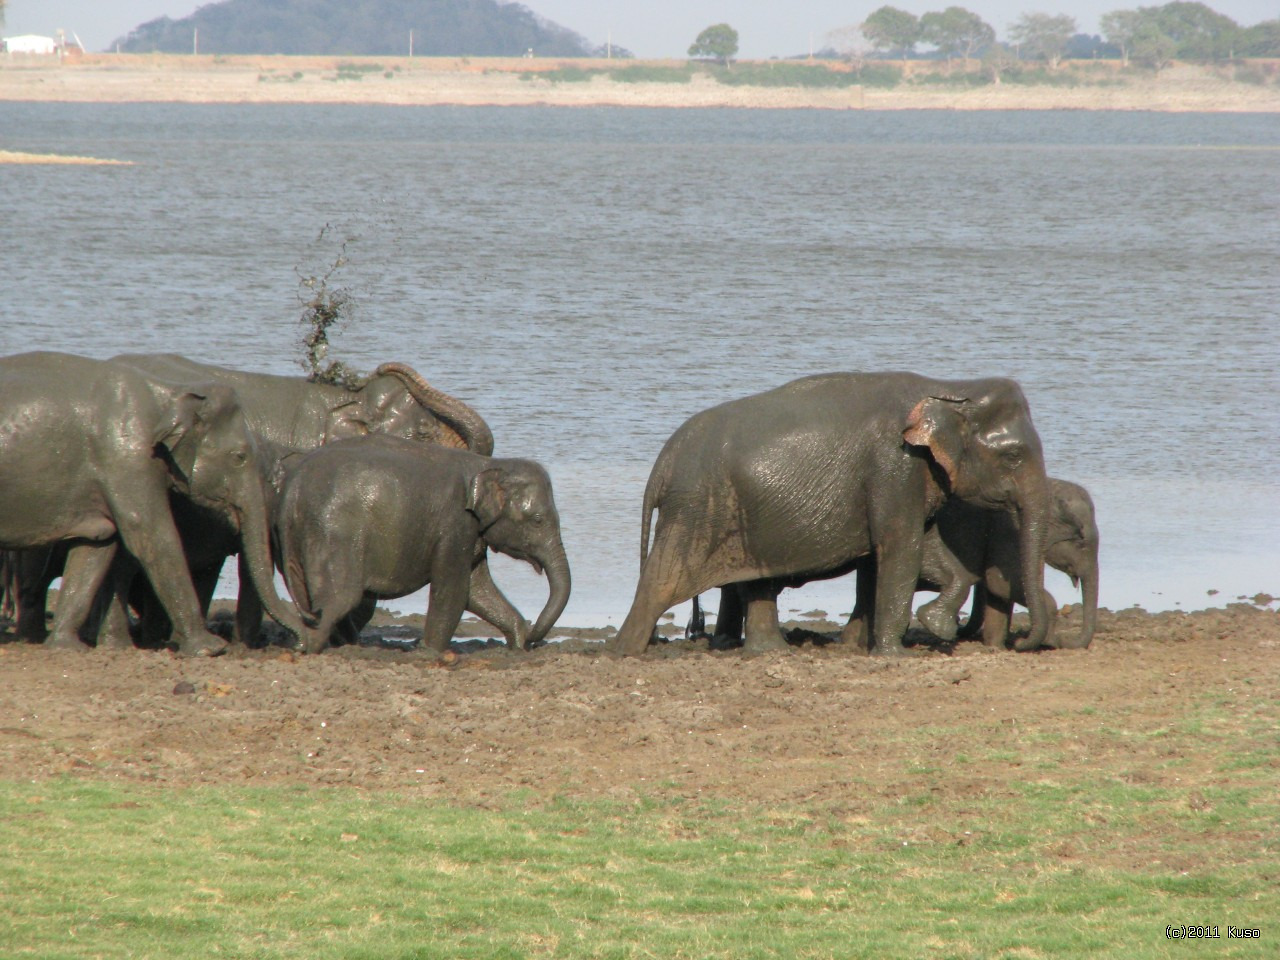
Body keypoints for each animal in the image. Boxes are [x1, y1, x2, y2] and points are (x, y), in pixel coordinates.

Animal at [0, 350, 308, 660]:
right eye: (239, 457)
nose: (302, 641)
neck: (170, 393)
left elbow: (98, 544)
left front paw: (67, 647)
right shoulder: (128, 458)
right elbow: (155, 537)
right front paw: (209, 648)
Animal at [272, 437, 568, 660]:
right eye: (538, 521)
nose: (533, 637)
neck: (487, 465)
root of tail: (292, 490)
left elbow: (478, 591)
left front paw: (517, 643)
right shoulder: (455, 523)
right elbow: (453, 589)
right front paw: (430, 652)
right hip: (333, 532)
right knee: (340, 597)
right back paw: (312, 647)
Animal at [614, 371, 1054, 660]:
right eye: (1013, 457)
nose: (1022, 643)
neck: (953, 389)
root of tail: (663, 462)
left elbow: (913, 549)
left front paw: (916, 630)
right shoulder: (896, 467)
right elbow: (901, 548)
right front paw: (896, 655)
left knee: (754, 579)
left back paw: (771, 652)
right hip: (697, 508)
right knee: (663, 581)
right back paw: (626, 653)